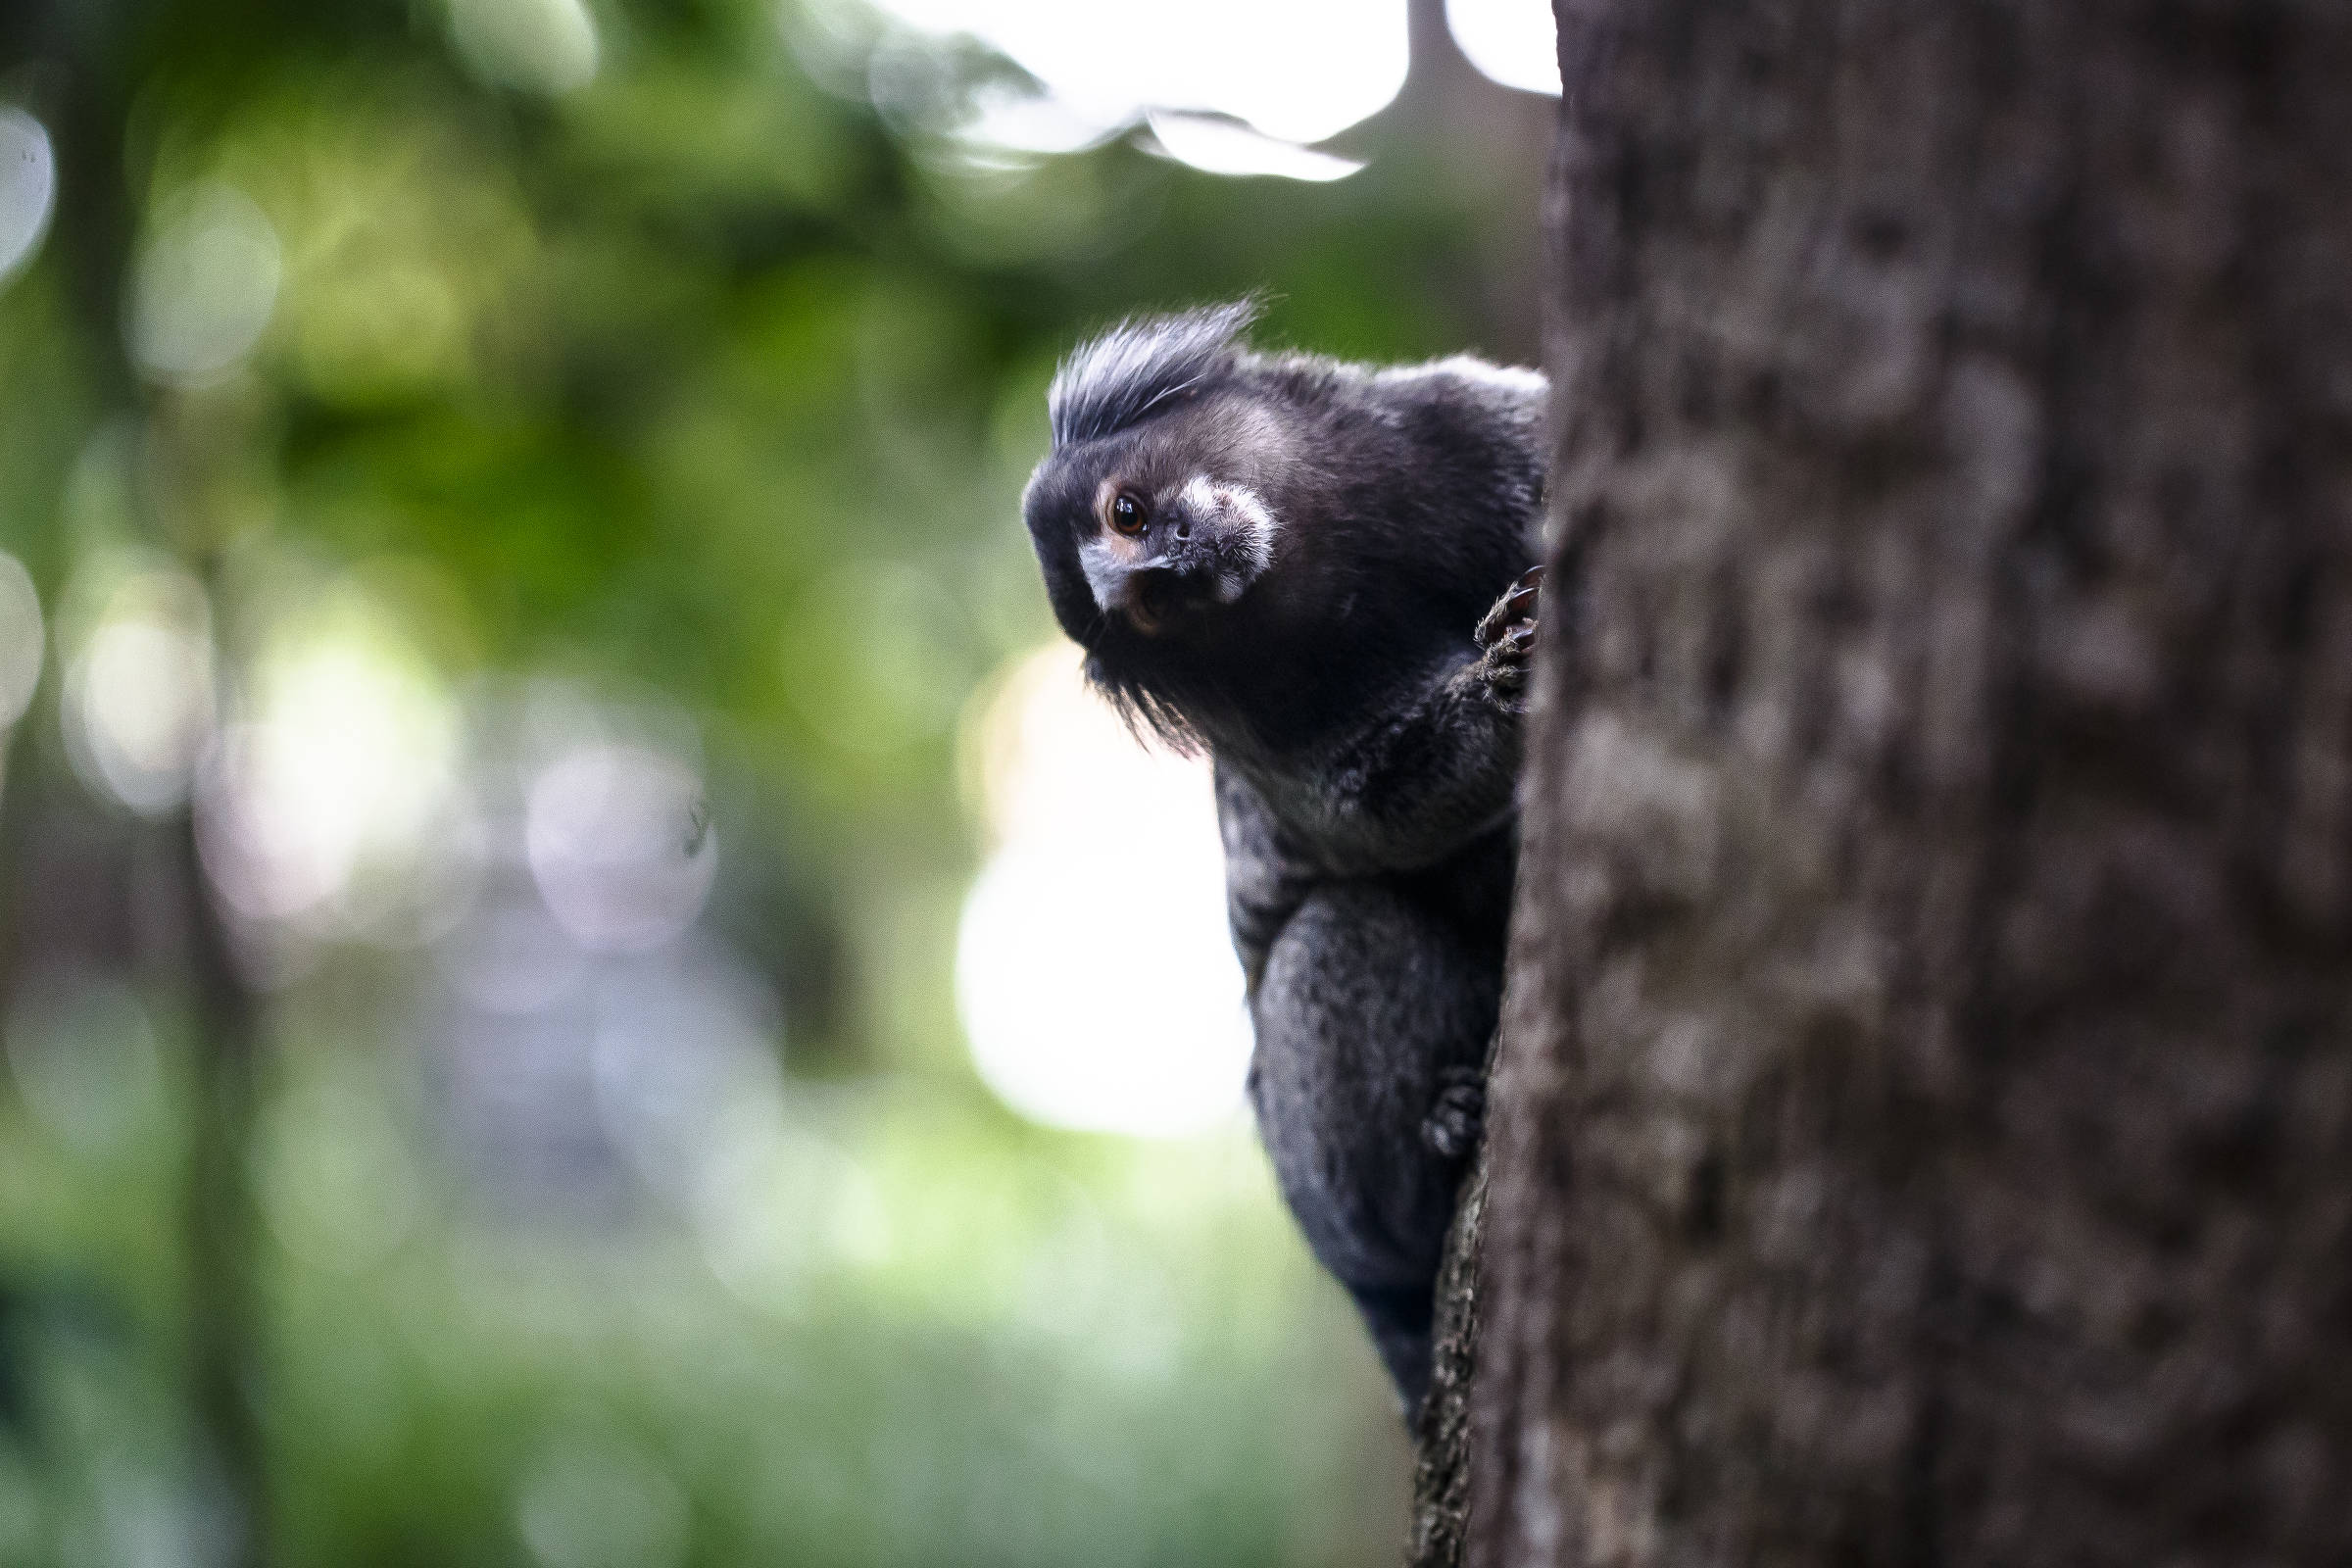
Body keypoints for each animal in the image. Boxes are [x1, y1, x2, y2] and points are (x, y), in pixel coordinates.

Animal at [1025, 301, 1543, 1419]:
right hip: (1315, 1181)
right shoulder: (1266, 726)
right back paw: (1442, 1144)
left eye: (1127, 513)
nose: (1169, 567)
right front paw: (1499, 691)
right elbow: (1372, 814)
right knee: (1333, 937)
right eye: (1147, 611)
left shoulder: (1469, 428)